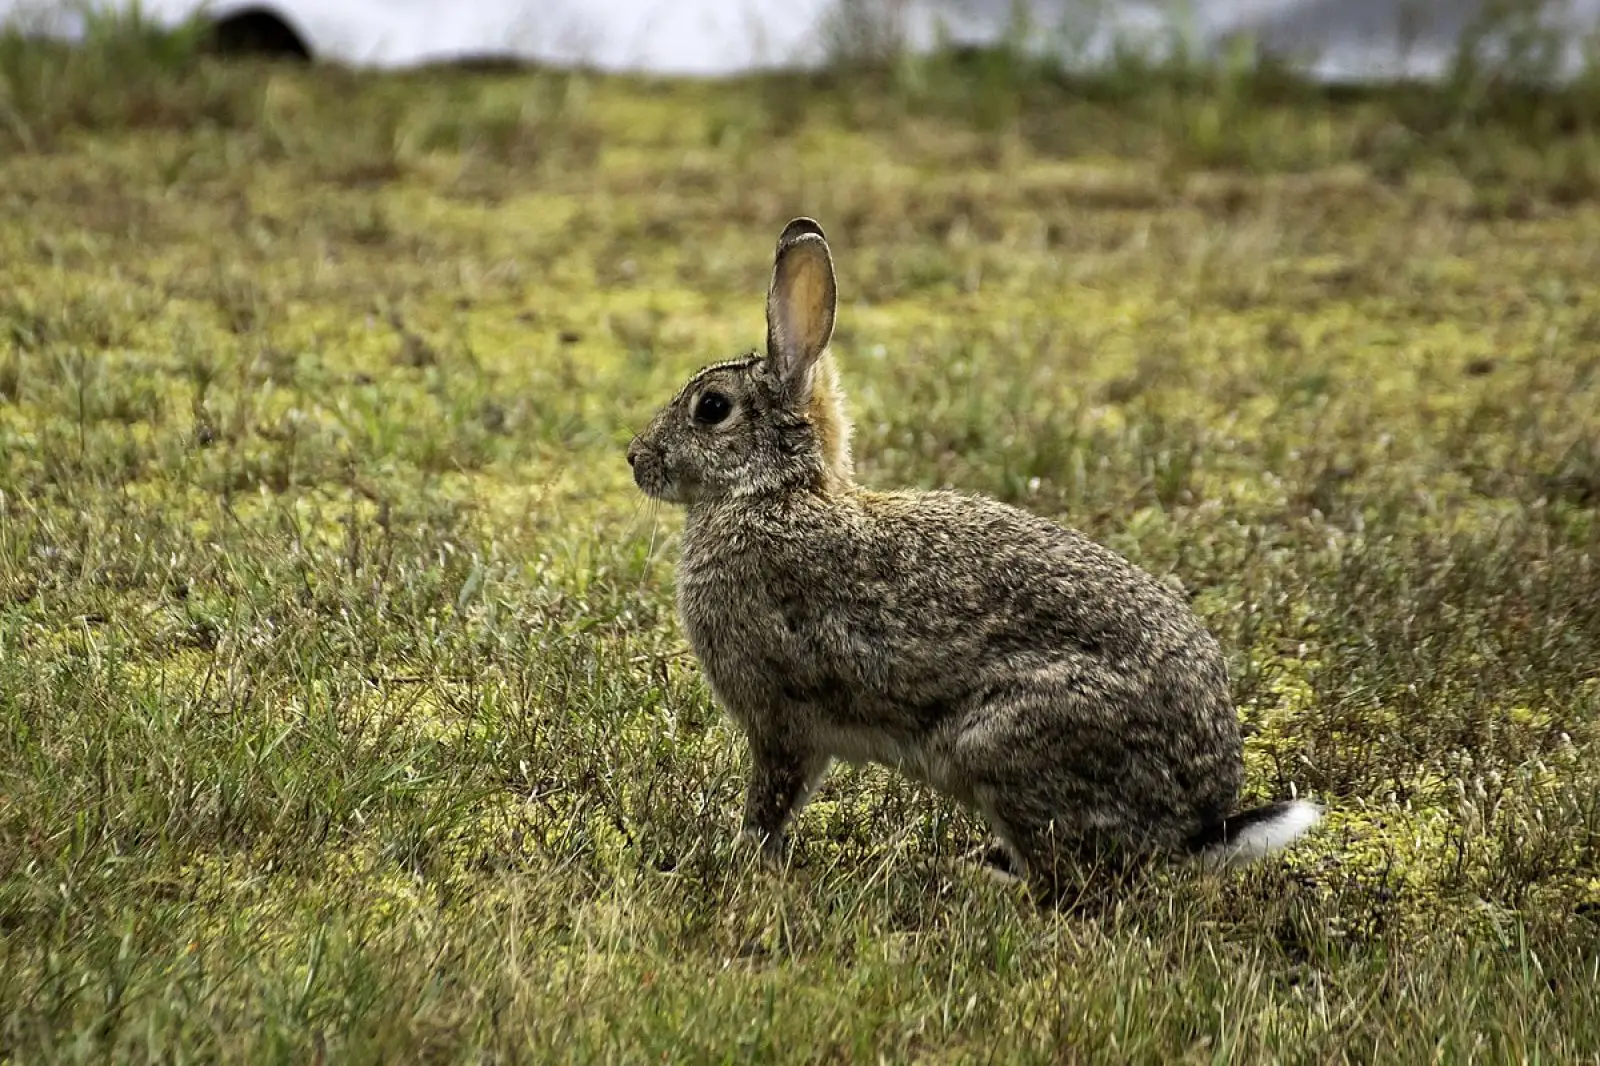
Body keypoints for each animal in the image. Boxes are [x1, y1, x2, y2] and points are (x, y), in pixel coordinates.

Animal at [626, 217, 1321, 892]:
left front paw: (738, 854)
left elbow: (772, 799)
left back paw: (972, 876)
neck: (773, 492)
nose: (635, 458)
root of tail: (1196, 826)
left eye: (712, 408)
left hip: (1003, 748)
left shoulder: (780, 718)